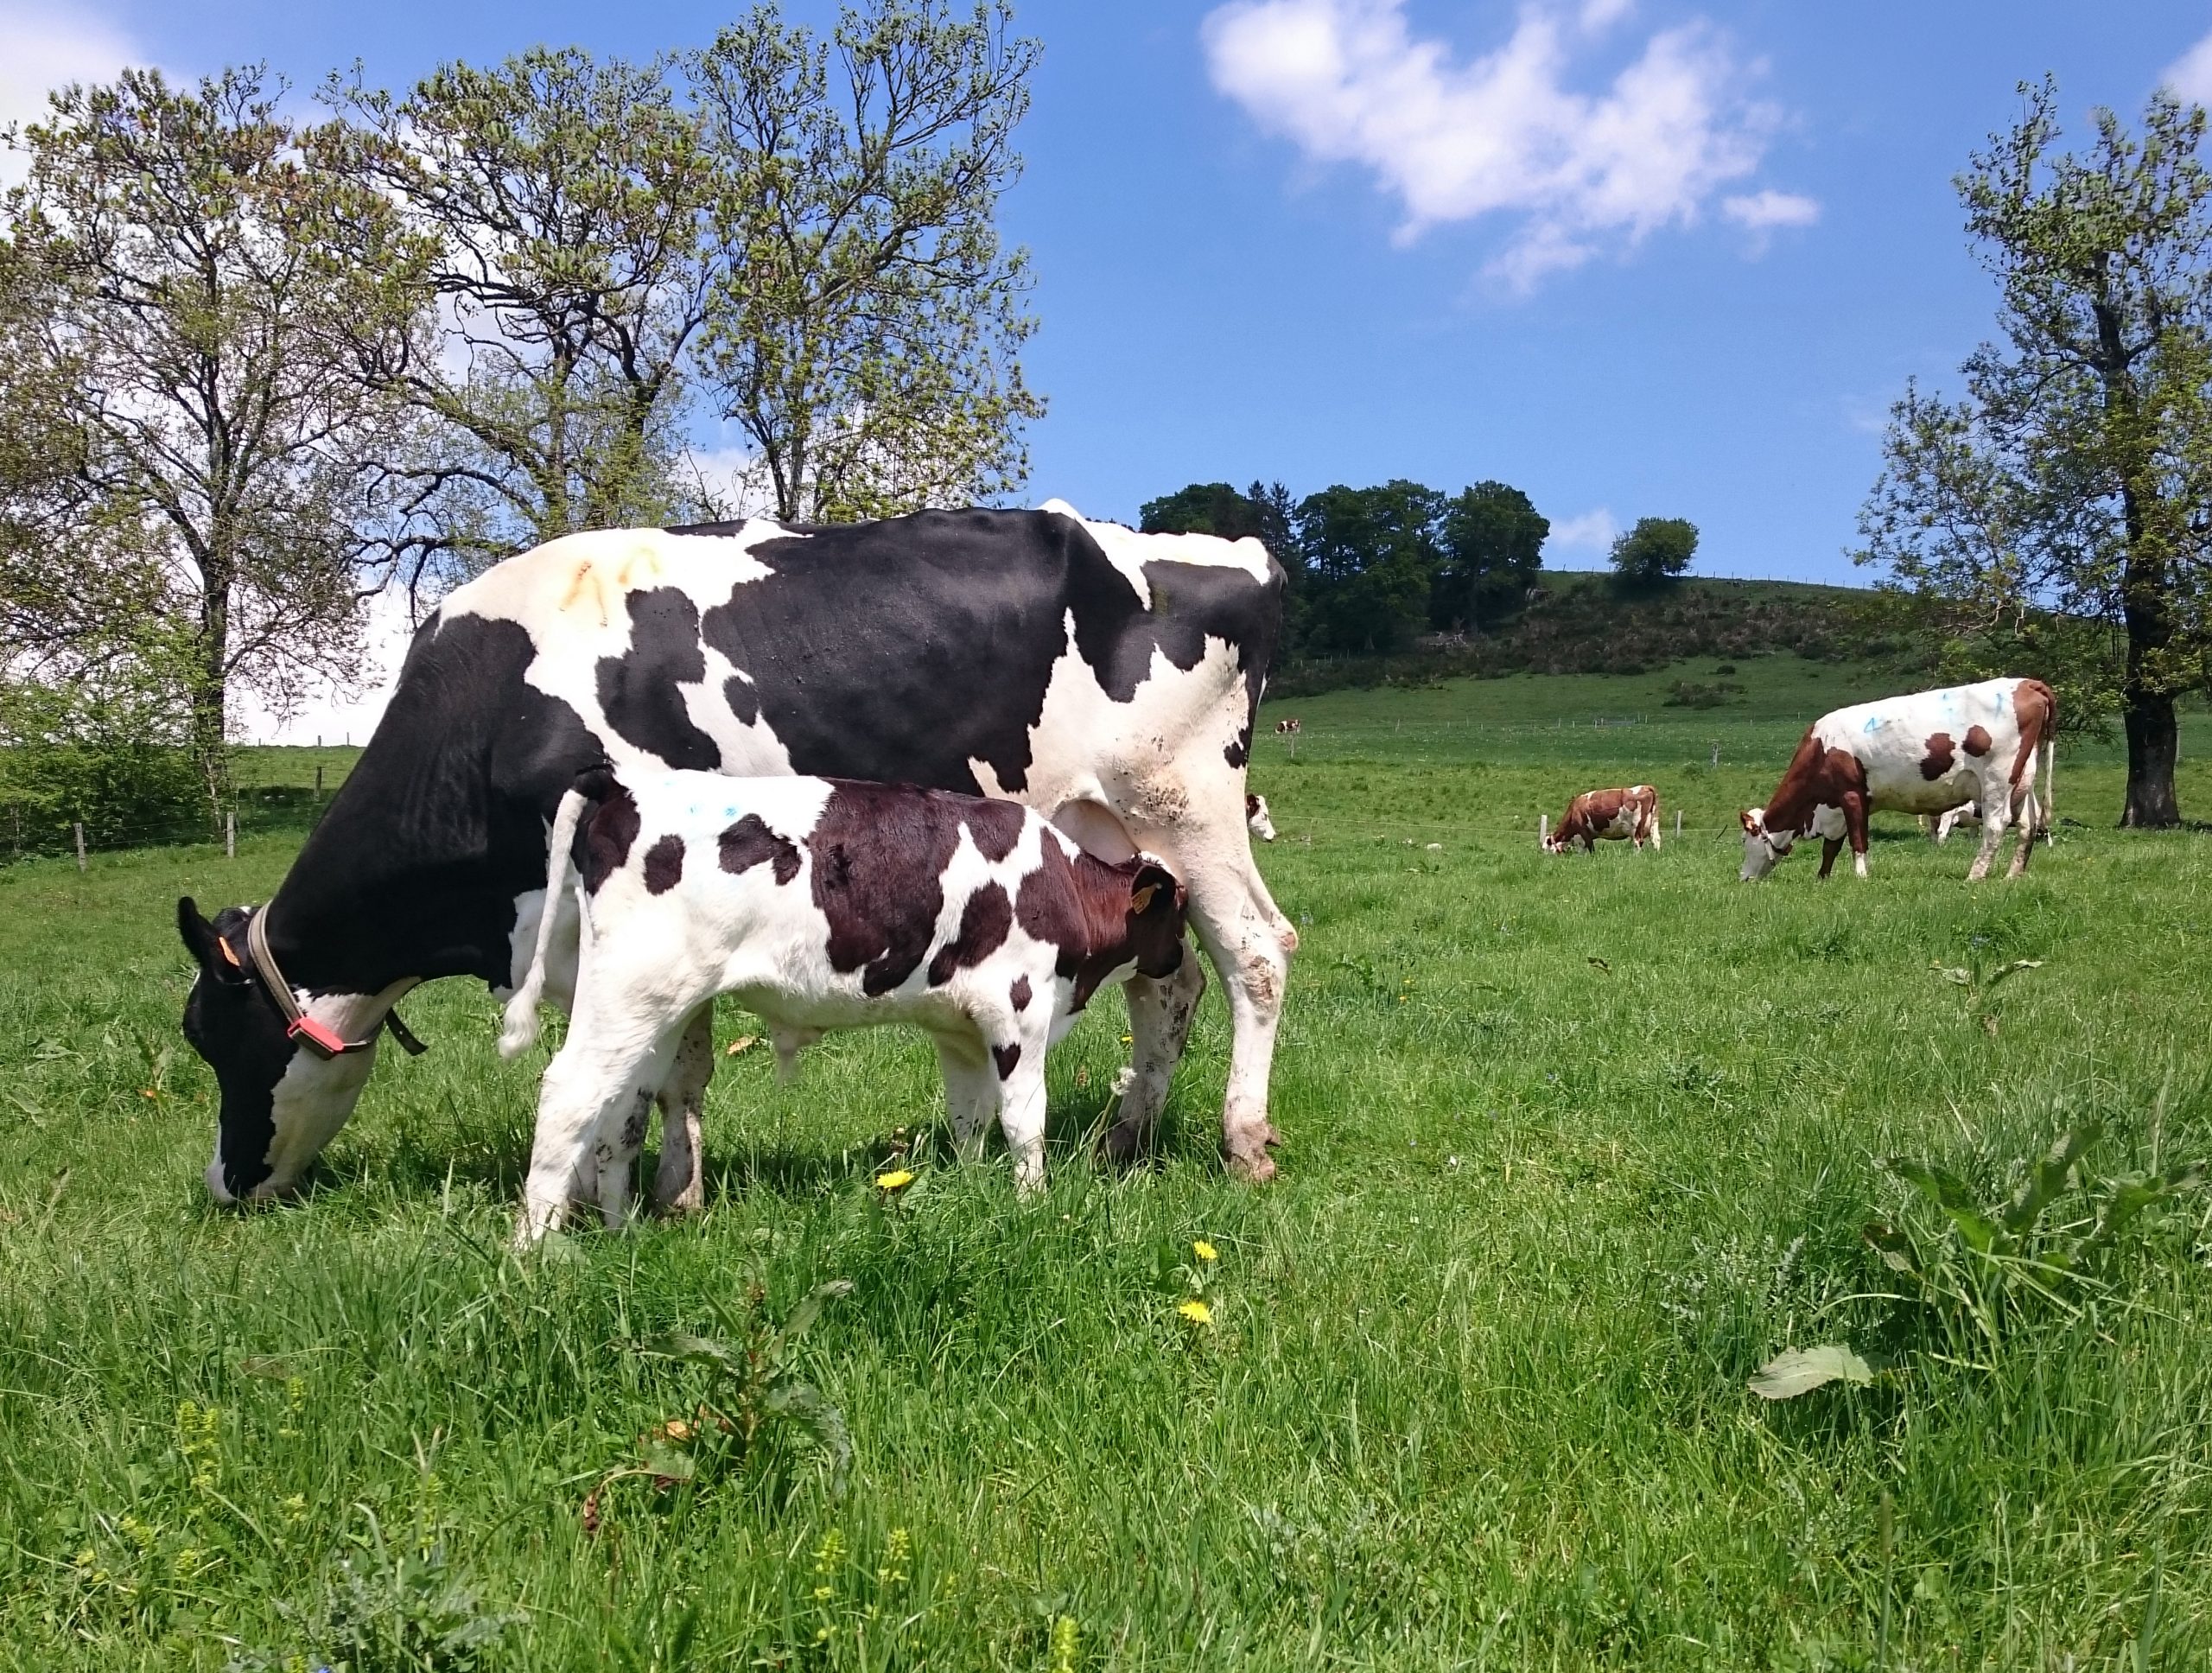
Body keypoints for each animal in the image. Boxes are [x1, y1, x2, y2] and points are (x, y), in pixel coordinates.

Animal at [497, 768, 1188, 1239]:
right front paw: (1032, 1204)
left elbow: (969, 1118)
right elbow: (1025, 1122)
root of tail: (621, 785)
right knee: (568, 1092)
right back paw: (539, 1251)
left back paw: (623, 1233)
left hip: (654, 1008)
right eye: (1177, 913)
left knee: (623, 1108)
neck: (1062, 884)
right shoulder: (1019, 1012)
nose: (1183, 958)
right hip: (631, 989)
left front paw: (972, 1191)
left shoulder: (960, 1029)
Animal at [1545, 785, 1661, 853]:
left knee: (1638, 842)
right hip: (1654, 822)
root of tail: (1646, 787)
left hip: (1637, 826)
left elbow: (1590, 849)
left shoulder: (1583, 831)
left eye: (1545, 849)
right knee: (1656, 840)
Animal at [1740, 677, 2054, 882]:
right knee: (2027, 825)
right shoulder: (1836, 807)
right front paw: (1823, 879)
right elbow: (1832, 847)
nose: (1743, 877)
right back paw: (2012, 876)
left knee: (1995, 826)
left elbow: (1857, 841)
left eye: (1744, 840)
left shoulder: (1851, 795)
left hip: (1997, 779)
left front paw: (1861, 878)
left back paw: (1974, 876)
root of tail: (2027, 683)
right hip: (2023, 780)